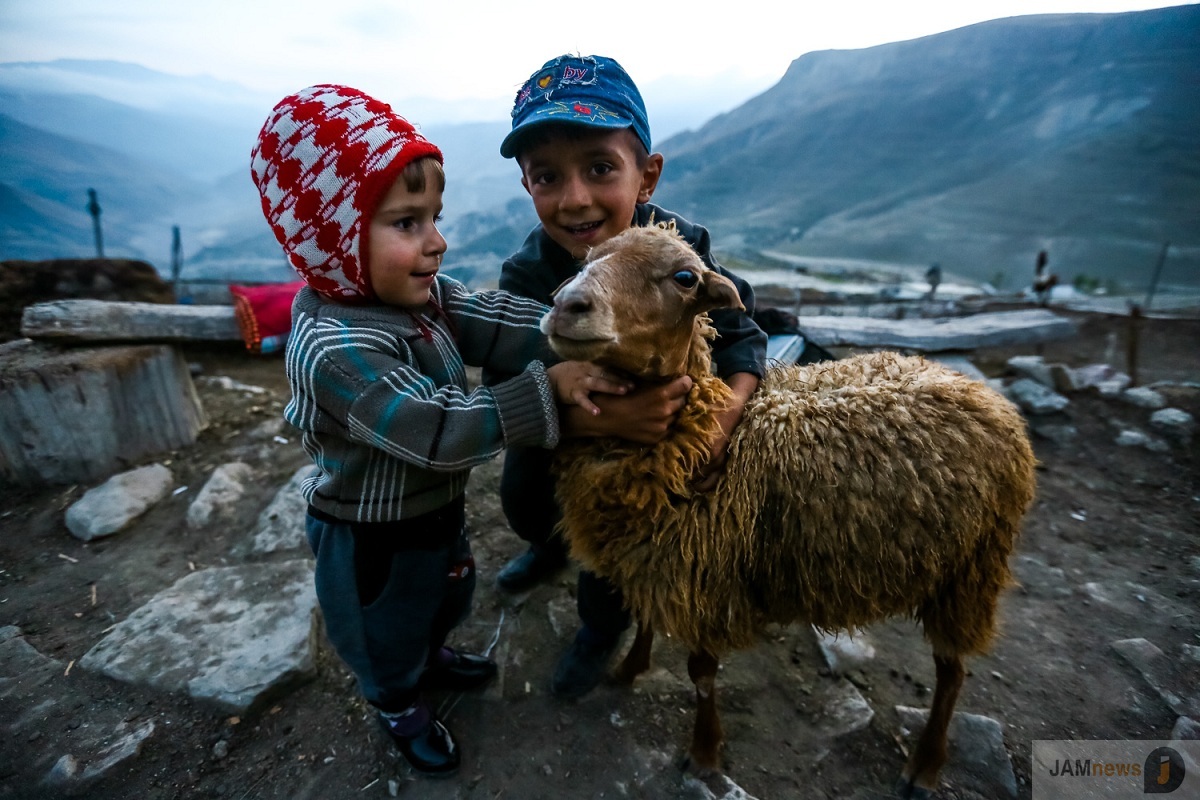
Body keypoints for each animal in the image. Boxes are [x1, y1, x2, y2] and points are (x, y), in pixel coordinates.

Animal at [544, 221, 1041, 796]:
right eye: (586, 257)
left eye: (685, 278)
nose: (566, 304)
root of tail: (982, 394)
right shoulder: (659, 558)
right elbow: (645, 616)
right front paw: (629, 669)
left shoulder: (712, 578)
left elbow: (702, 675)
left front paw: (705, 752)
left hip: (970, 572)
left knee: (952, 672)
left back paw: (925, 765)